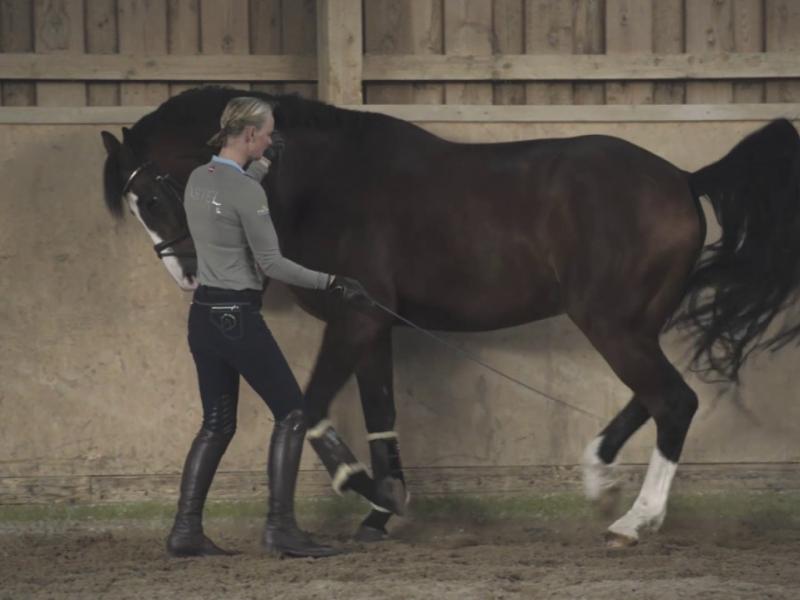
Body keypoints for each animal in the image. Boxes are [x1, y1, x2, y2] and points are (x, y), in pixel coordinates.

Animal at [101, 86, 800, 548]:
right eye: (137, 204)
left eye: (153, 197)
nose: (190, 276)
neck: (325, 182)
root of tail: (683, 177)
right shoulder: (372, 324)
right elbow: (379, 415)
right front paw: (383, 510)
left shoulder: (352, 322)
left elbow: (313, 408)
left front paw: (371, 492)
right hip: (629, 323)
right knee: (653, 399)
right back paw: (600, 479)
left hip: (610, 323)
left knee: (674, 401)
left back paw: (634, 520)